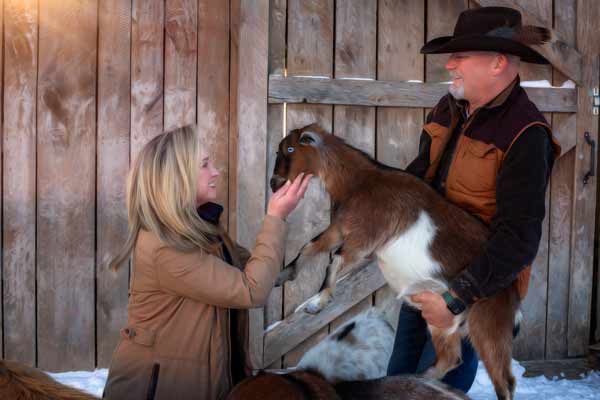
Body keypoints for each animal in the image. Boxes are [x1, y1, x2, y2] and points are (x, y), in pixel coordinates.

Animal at [270, 124, 520, 400]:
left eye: (289, 149)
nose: (273, 183)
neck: (358, 183)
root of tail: (513, 292)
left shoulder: (365, 237)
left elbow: (334, 261)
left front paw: (316, 303)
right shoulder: (340, 228)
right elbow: (309, 247)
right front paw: (283, 276)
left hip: (488, 324)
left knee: (505, 381)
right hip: (441, 318)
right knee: (451, 358)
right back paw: (418, 378)